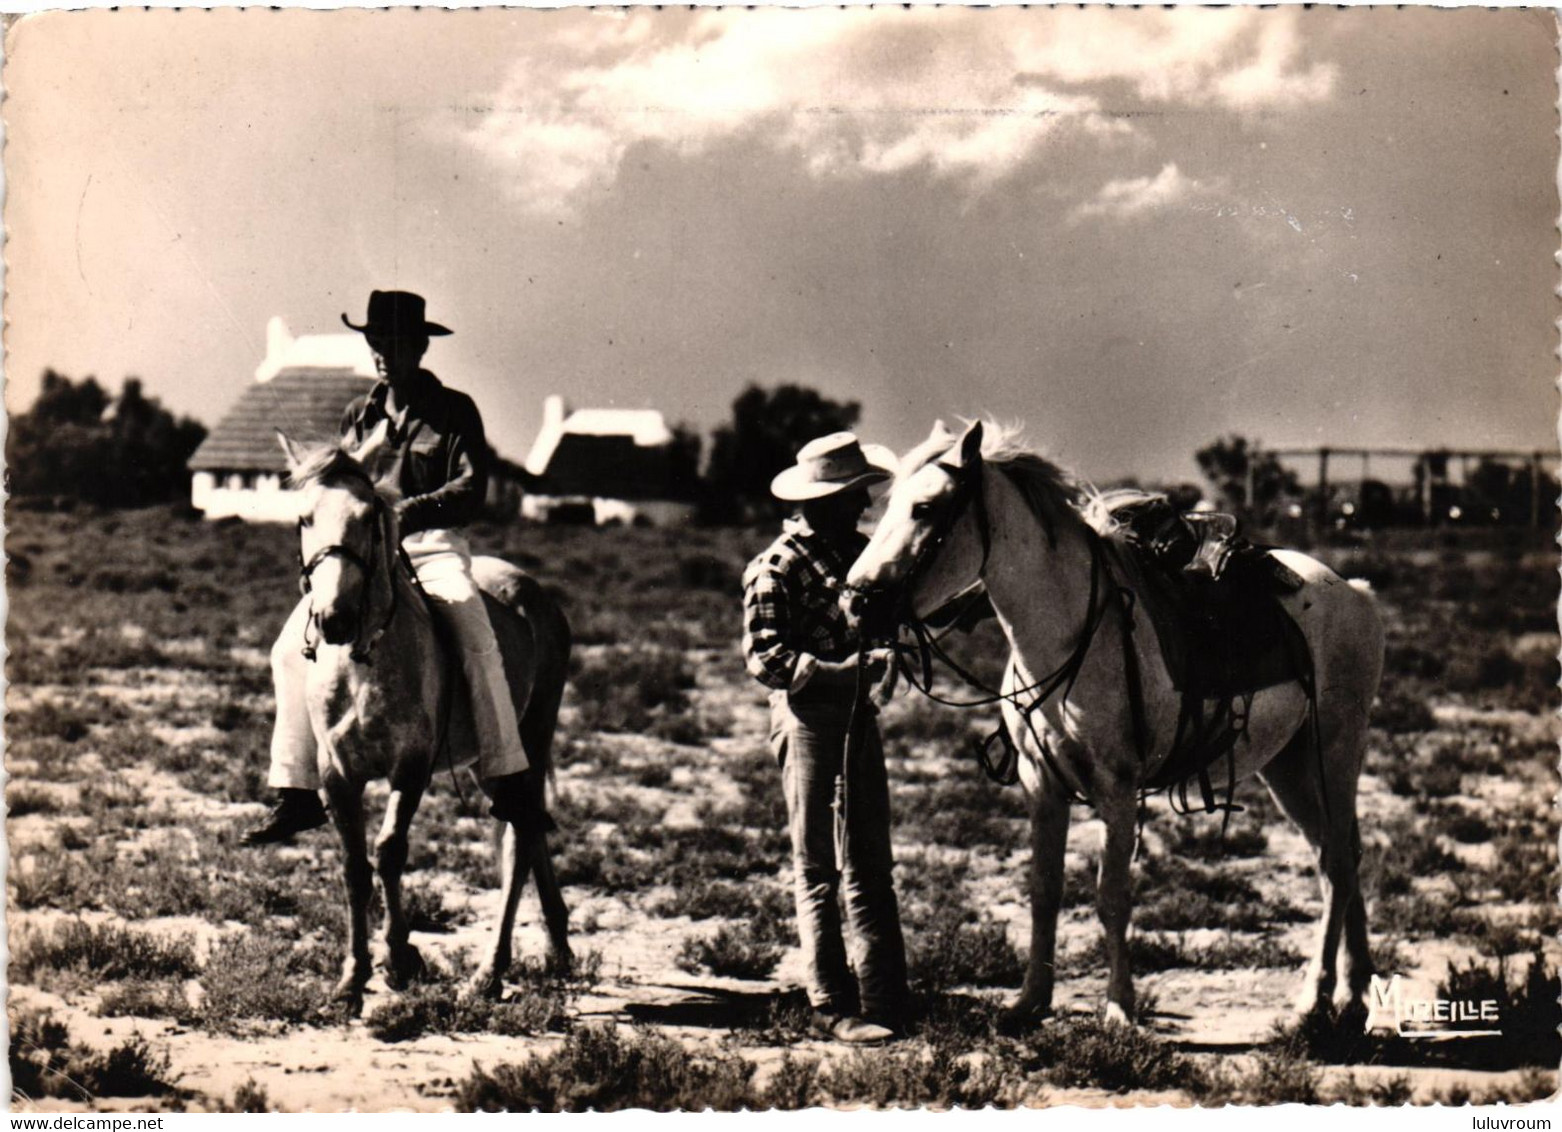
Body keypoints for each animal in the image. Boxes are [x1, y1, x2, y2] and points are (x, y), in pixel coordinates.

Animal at [849, 421, 1387, 1024]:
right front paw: (1031, 1000)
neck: (1069, 636)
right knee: (1337, 855)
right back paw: (1354, 995)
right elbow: (1044, 889)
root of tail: (1355, 590)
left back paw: (1314, 999)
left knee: (1337, 862)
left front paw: (1119, 1008)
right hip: (1288, 767)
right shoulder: (1042, 784)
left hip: (1334, 752)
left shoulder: (1117, 788)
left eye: (924, 508)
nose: (856, 600)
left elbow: (1112, 896)